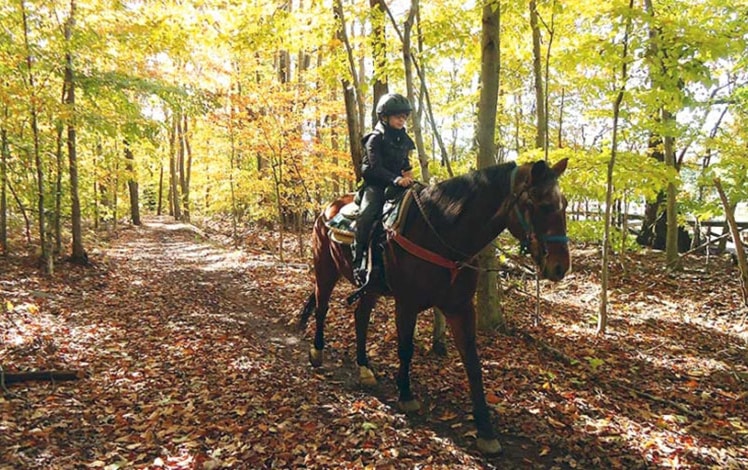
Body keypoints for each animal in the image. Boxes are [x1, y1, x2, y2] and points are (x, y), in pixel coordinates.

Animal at [298, 159, 568, 456]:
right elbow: (406, 349)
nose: (560, 267)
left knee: (361, 316)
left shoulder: (460, 309)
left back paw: (364, 368)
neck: (442, 233)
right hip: (325, 268)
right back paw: (317, 352)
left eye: (565, 204)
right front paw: (406, 394)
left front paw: (485, 430)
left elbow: (473, 363)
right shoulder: (407, 304)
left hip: (370, 287)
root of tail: (328, 210)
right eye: (543, 205)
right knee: (322, 307)